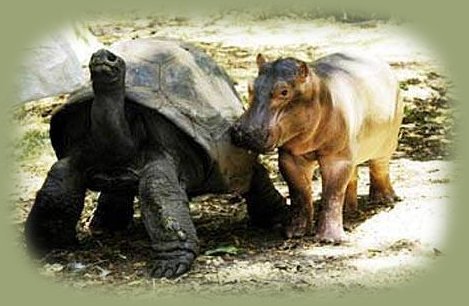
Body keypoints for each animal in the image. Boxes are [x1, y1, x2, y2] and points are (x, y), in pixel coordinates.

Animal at [230, 53, 402, 244]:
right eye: (250, 86)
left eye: (284, 91)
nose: (243, 132)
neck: (319, 91)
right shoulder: (291, 157)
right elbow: (299, 192)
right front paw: (294, 232)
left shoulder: (337, 157)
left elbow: (333, 193)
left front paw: (330, 239)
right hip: (352, 148)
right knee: (352, 174)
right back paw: (349, 209)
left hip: (387, 140)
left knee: (379, 166)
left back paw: (384, 200)